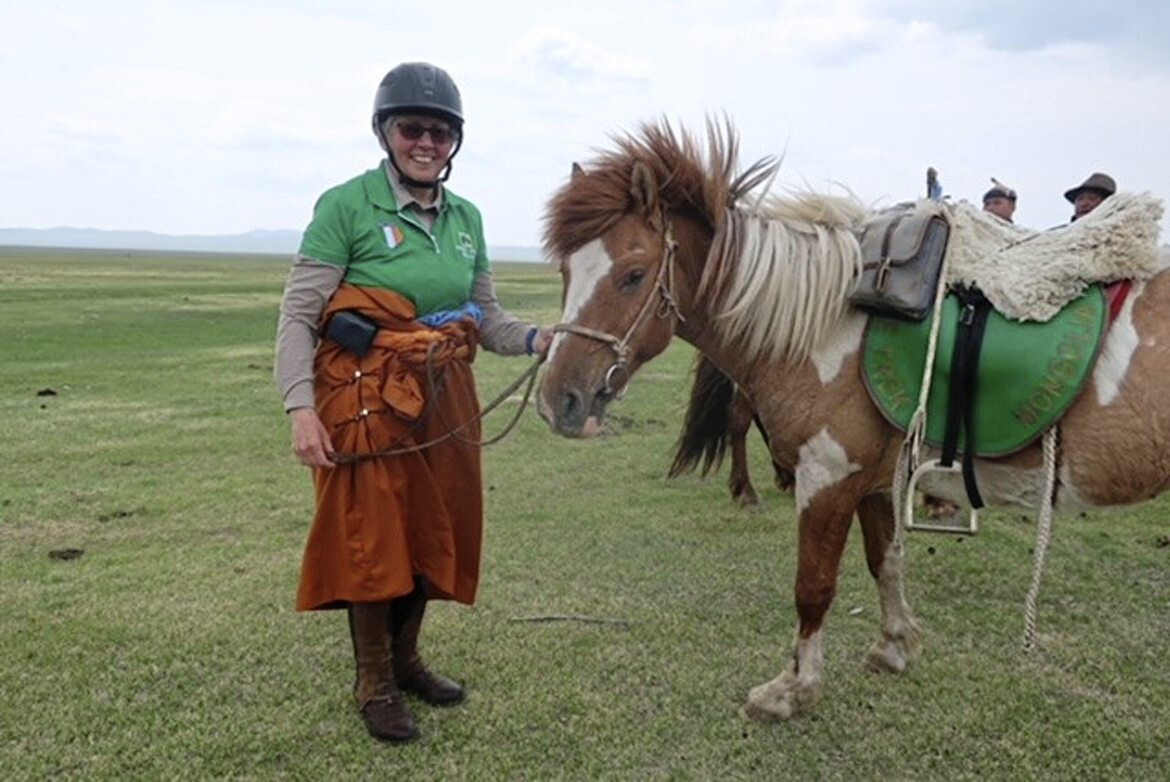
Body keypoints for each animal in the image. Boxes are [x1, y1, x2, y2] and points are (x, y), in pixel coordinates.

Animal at [535, 120, 1170, 721]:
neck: (827, 324)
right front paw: (894, 647)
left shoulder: (828, 478)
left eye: (633, 275)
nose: (558, 400)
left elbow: (813, 587)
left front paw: (791, 690)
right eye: (564, 271)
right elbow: (884, 562)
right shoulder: (877, 480)